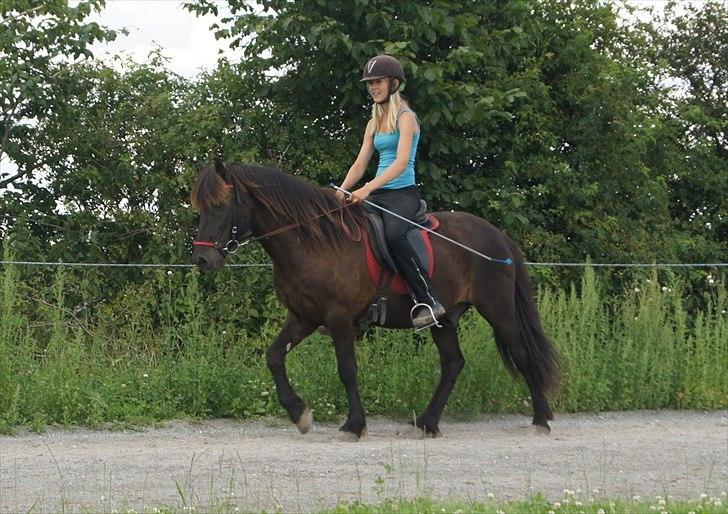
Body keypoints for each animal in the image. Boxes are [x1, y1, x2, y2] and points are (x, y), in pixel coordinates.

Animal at [189, 158, 556, 438]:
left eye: (220, 206)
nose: (202, 260)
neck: (315, 242)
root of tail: (497, 234)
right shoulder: (303, 316)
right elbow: (274, 357)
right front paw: (300, 414)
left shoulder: (339, 318)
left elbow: (347, 369)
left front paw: (353, 425)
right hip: (444, 318)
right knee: (453, 363)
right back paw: (426, 423)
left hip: (498, 308)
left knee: (522, 354)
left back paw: (540, 420)